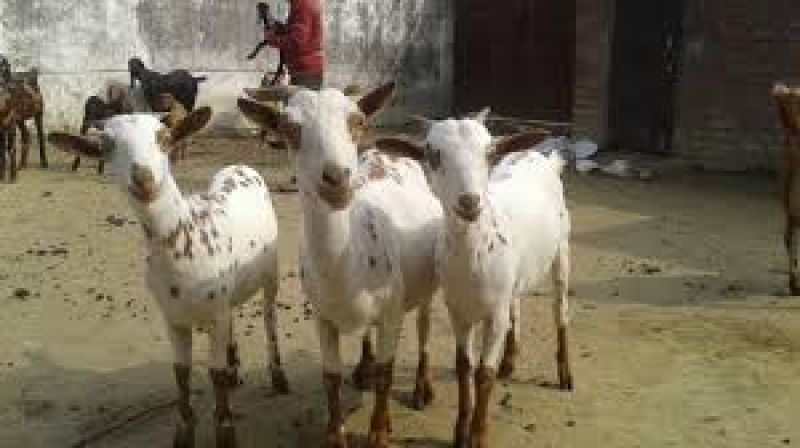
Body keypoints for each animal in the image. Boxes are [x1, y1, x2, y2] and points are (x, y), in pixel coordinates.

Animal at [48, 109, 288, 448]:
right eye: (106, 146)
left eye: (164, 138)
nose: (144, 179)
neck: (188, 237)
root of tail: (241, 167)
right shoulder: (172, 318)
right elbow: (180, 373)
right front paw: (184, 431)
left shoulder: (214, 315)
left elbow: (213, 373)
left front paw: (225, 429)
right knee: (234, 314)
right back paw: (234, 369)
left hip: (271, 274)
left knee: (269, 320)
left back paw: (278, 377)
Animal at [238, 83, 443, 448]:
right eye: (289, 129)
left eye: (358, 121)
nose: (336, 179)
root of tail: (387, 154)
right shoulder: (323, 318)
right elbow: (330, 377)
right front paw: (336, 435)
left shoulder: (391, 313)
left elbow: (387, 375)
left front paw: (379, 433)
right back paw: (363, 369)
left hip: (425, 286)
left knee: (424, 326)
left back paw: (422, 389)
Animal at [374, 113, 572, 448]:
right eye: (433, 155)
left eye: (490, 153)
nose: (469, 201)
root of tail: (541, 156)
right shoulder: (459, 311)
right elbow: (464, 368)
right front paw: (460, 432)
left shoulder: (494, 314)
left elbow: (484, 374)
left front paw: (478, 435)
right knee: (516, 304)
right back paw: (510, 361)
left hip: (562, 249)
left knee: (560, 308)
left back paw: (565, 375)